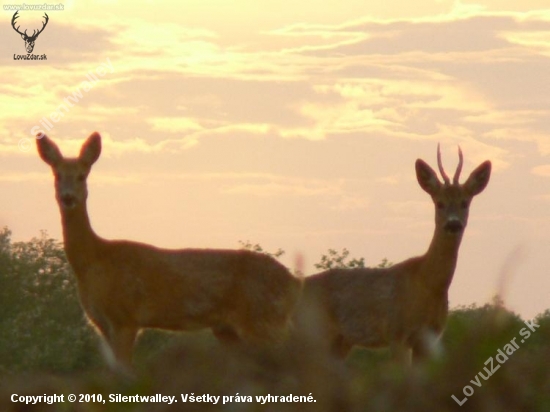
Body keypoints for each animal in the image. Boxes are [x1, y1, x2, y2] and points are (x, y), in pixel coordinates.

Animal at [36, 132, 304, 370]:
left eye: (82, 176)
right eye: (57, 175)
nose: (68, 197)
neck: (94, 261)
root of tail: (293, 284)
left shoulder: (125, 317)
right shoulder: (103, 324)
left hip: (263, 319)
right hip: (229, 329)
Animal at [300, 145, 494, 364]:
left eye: (465, 203)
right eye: (439, 203)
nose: (453, 224)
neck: (427, 284)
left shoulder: (429, 339)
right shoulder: (396, 332)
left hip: (340, 342)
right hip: (316, 333)